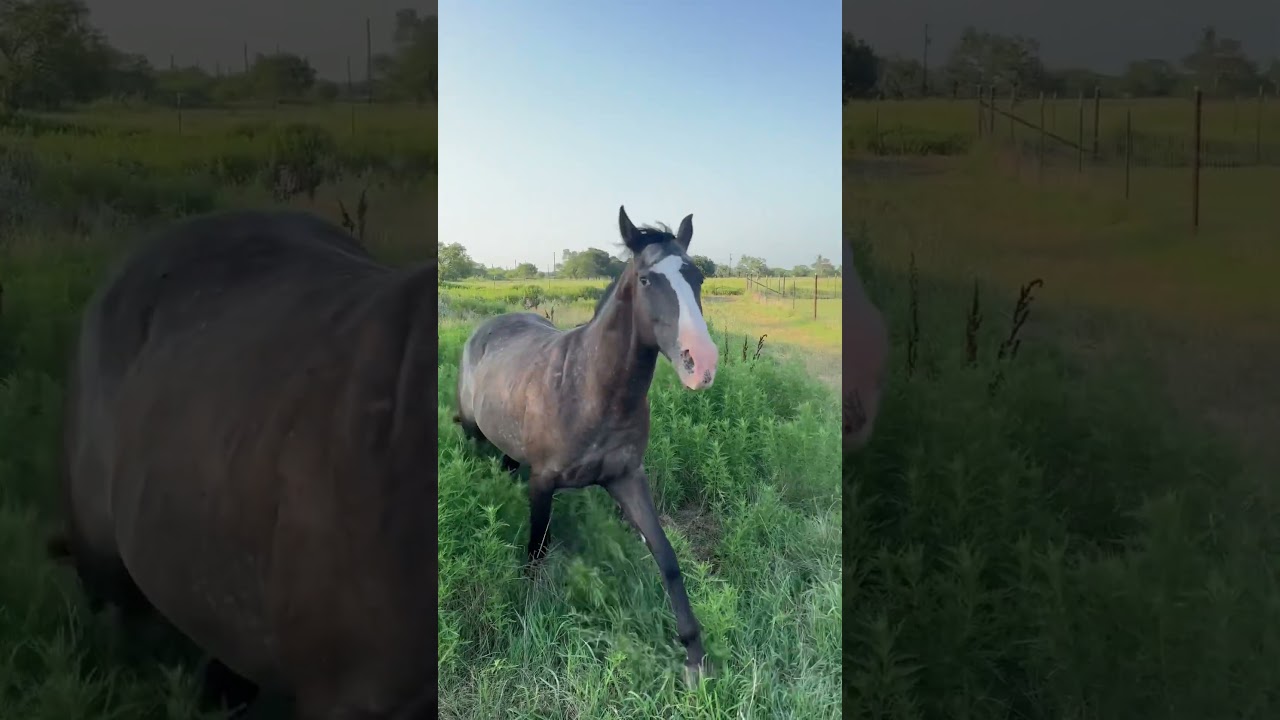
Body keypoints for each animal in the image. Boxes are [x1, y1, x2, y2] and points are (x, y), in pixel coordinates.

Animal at [453, 205, 719, 682]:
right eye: (647, 280)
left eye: (698, 277)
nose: (702, 364)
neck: (593, 390)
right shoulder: (543, 482)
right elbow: (536, 551)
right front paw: (526, 617)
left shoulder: (627, 477)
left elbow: (667, 558)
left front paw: (694, 656)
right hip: (471, 432)